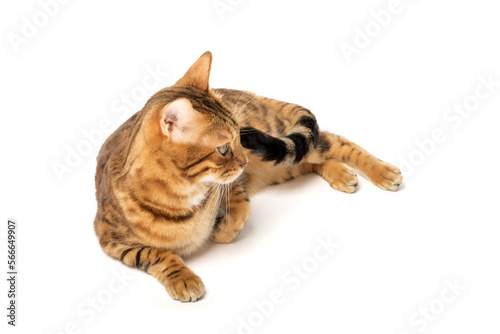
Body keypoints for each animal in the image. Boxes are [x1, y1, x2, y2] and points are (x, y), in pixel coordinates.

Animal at [94, 50, 402, 302]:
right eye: (222, 148)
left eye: (239, 137)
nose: (243, 162)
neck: (182, 193)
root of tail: (247, 91)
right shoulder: (113, 241)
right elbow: (155, 254)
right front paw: (183, 277)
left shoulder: (231, 185)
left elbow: (240, 211)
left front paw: (222, 231)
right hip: (280, 164)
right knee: (315, 157)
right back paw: (341, 173)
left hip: (274, 143)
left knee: (332, 142)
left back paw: (383, 171)